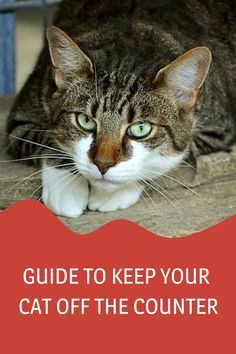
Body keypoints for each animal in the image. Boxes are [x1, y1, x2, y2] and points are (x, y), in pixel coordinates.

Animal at [6, 0, 236, 217]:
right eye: (85, 120)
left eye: (141, 128)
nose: (102, 164)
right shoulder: (23, 115)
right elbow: (48, 138)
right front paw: (66, 189)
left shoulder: (218, 128)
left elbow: (172, 156)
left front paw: (110, 195)